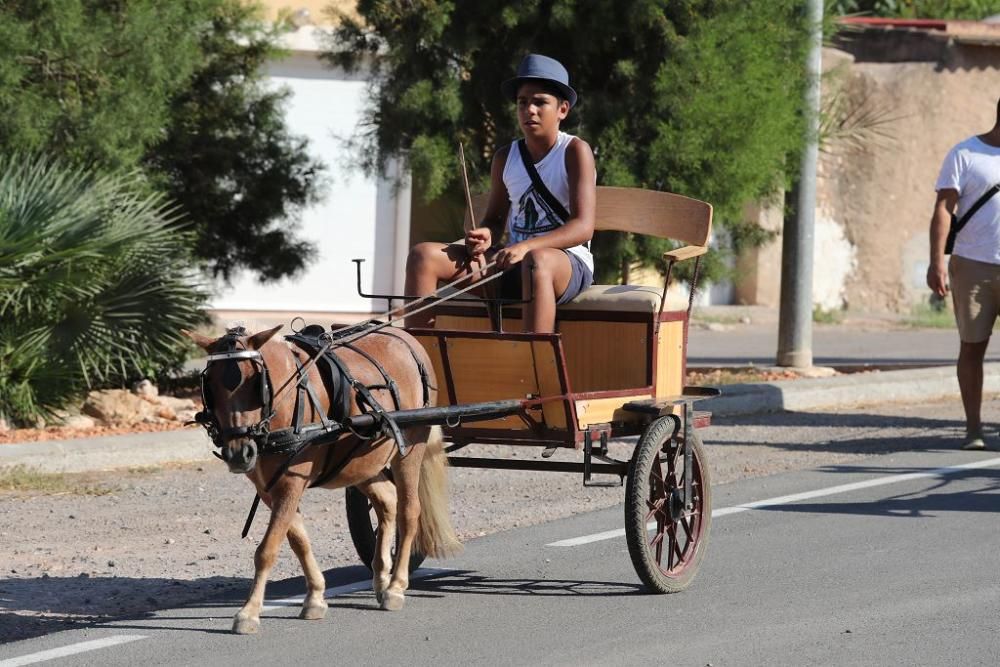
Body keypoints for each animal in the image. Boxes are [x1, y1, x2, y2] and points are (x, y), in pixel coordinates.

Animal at [185, 326, 464, 636]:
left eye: (254, 383)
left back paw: (395, 586)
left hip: (410, 448)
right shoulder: (270, 489)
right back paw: (381, 577)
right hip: (361, 463)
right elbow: (298, 540)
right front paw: (316, 596)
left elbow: (267, 549)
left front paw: (249, 612)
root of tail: (406, 337)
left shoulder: (291, 482)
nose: (237, 453)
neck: (288, 401)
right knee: (388, 503)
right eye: (210, 384)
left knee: (408, 511)